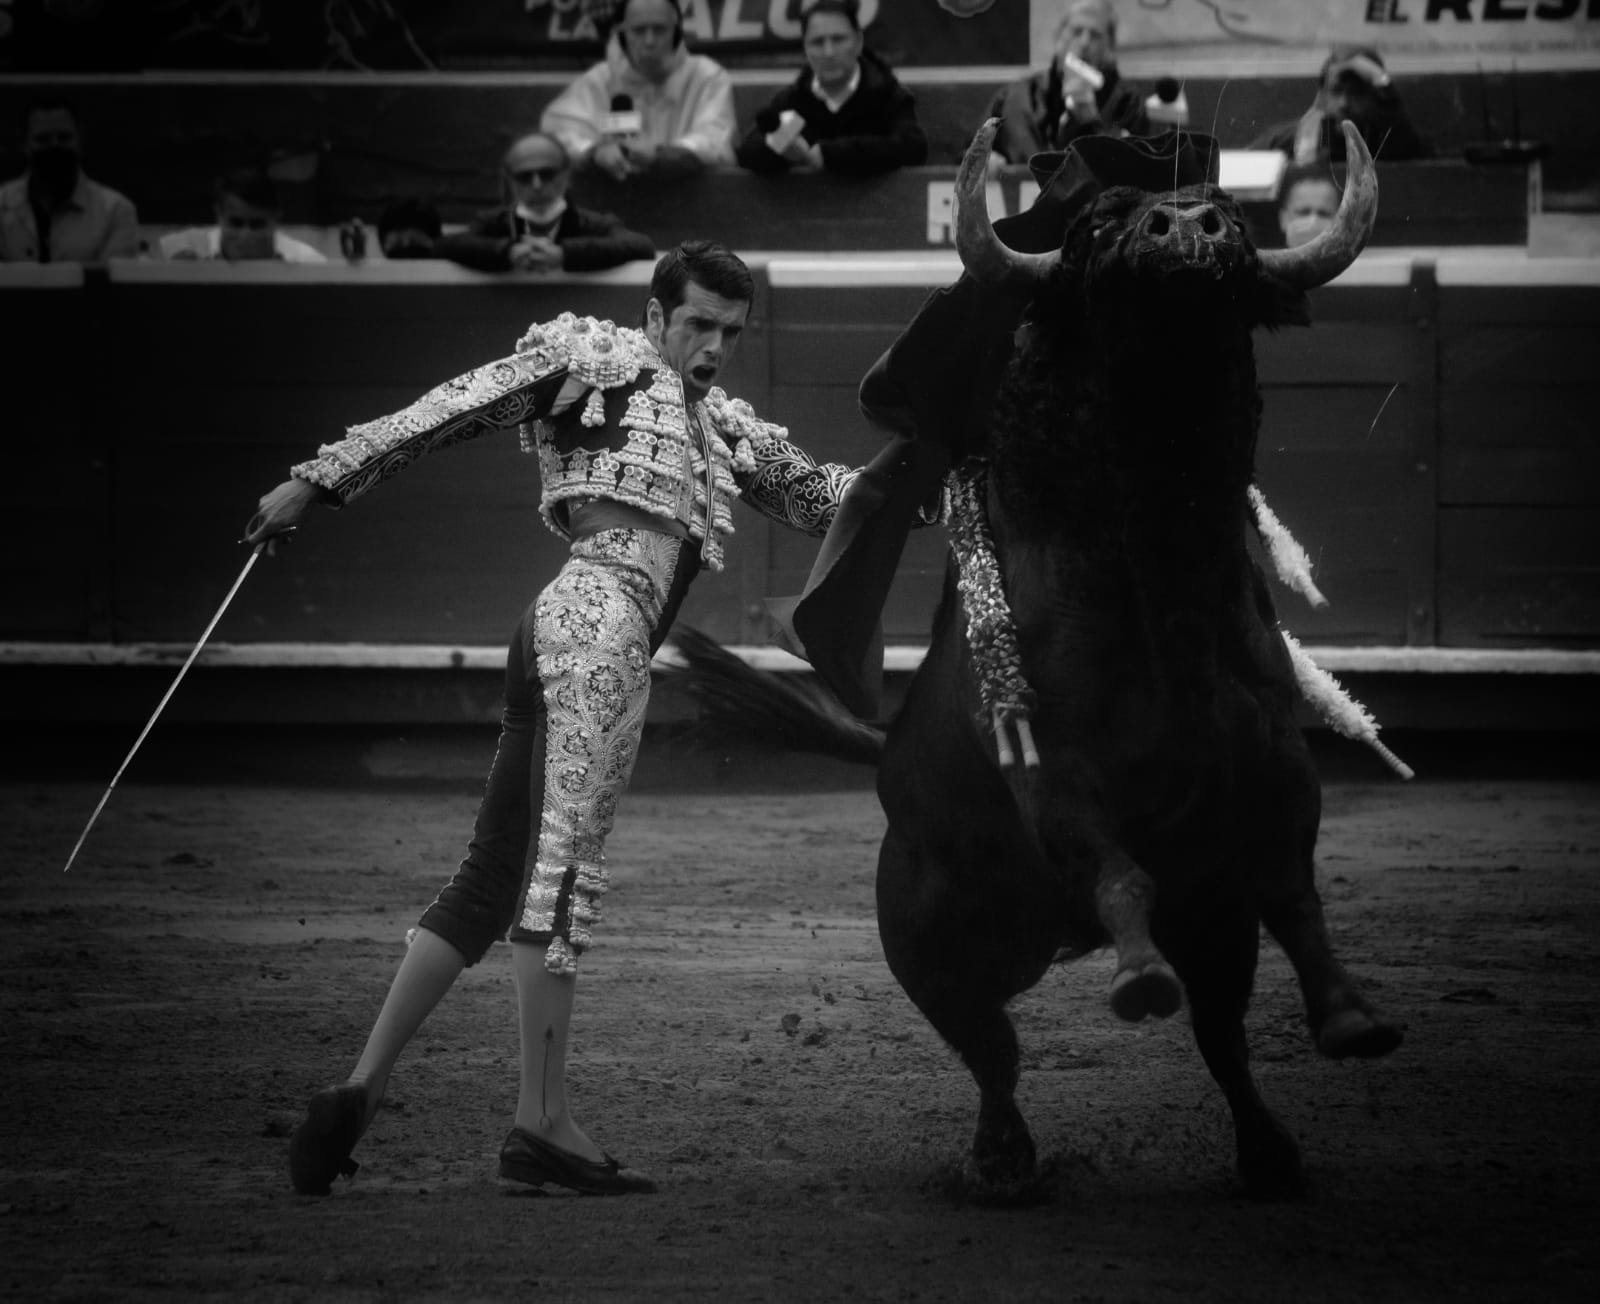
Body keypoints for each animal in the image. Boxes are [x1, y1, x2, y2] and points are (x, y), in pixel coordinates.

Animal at [673, 118, 1402, 1201]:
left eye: (1232, 221)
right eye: (1098, 228)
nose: (1188, 225)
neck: (1151, 569)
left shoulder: (1271, 763)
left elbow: (1291, 883)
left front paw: (1353, 1017)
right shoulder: (1048, 768)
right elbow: (1116, 869)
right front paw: (1140, 981)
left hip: (1207, 924)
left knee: (1221, 1034)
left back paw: (1268, 1152)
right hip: (928, 941)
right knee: (992, 1050)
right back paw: (1002, 1158)